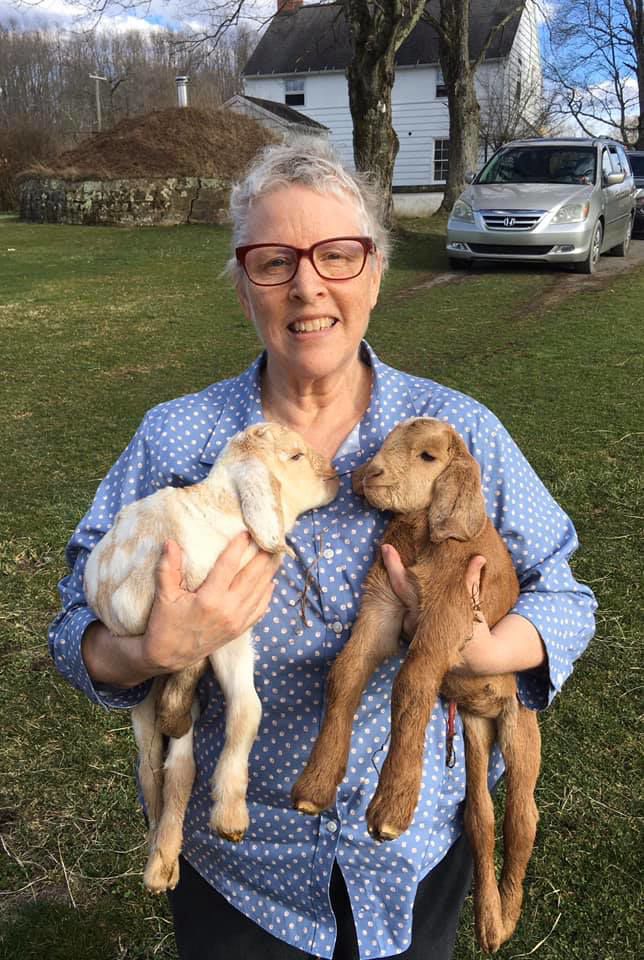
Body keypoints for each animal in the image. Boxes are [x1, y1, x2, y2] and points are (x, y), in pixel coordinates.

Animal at [84, 423, 339, 893]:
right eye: (294, 456)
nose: (333, 475)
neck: (220, 510)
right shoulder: (207, 622)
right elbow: (238, 699)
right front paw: (231, 816)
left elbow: (239, 711)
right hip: (150, 683)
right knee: (159, 764)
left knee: (171, 768)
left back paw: (163, 860)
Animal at [291, 417, 541, 954]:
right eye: (384, 443)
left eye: (428, 456)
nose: (371, 474)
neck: (424, 537)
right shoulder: (383, 604)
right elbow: (345, 672)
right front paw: (316, 785)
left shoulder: (448, 614)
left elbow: (410, 682)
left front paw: (391, 808)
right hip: (472, 733)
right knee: (481, 817)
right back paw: (488, 921)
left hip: (521, 726)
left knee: (523, 816)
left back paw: (507, 919)